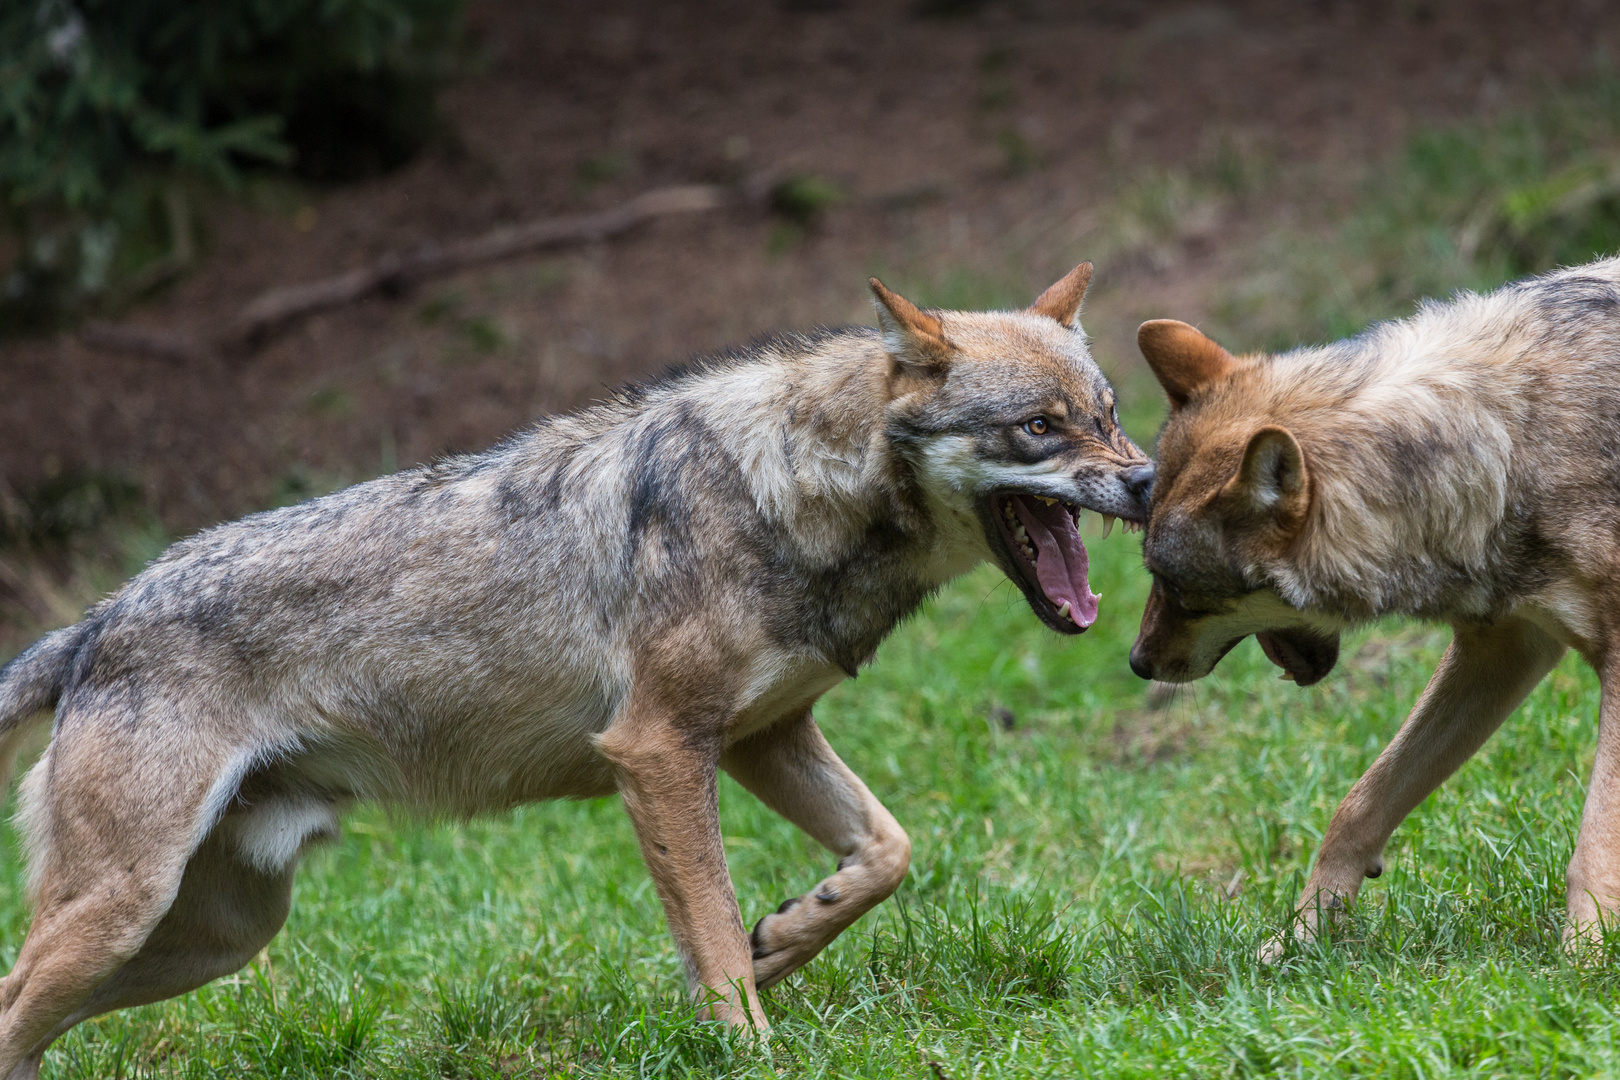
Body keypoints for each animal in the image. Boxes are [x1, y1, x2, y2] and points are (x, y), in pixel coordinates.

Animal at [1121, 257, 1620, 958]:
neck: (1513, 445)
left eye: (1175, 586)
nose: (1138, 664)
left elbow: (1595, 842)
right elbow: (1357, 805)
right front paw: (1301, 937)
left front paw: (1585, 957)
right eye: (1152, 575)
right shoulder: (1503, 648)